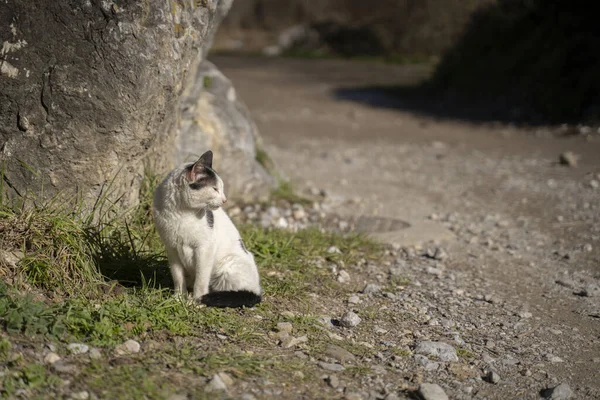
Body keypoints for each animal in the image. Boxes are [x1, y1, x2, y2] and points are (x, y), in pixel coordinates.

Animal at [151, 152, 262, 308]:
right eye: (215, 189)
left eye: (221, 188)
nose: (224, 200)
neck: (181, 213)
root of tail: (257, 290)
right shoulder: (171, 248)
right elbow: (178, 277)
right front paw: (178, 298)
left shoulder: (205, 249)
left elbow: (201, 279)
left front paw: (197, 302)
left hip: (228, 266)